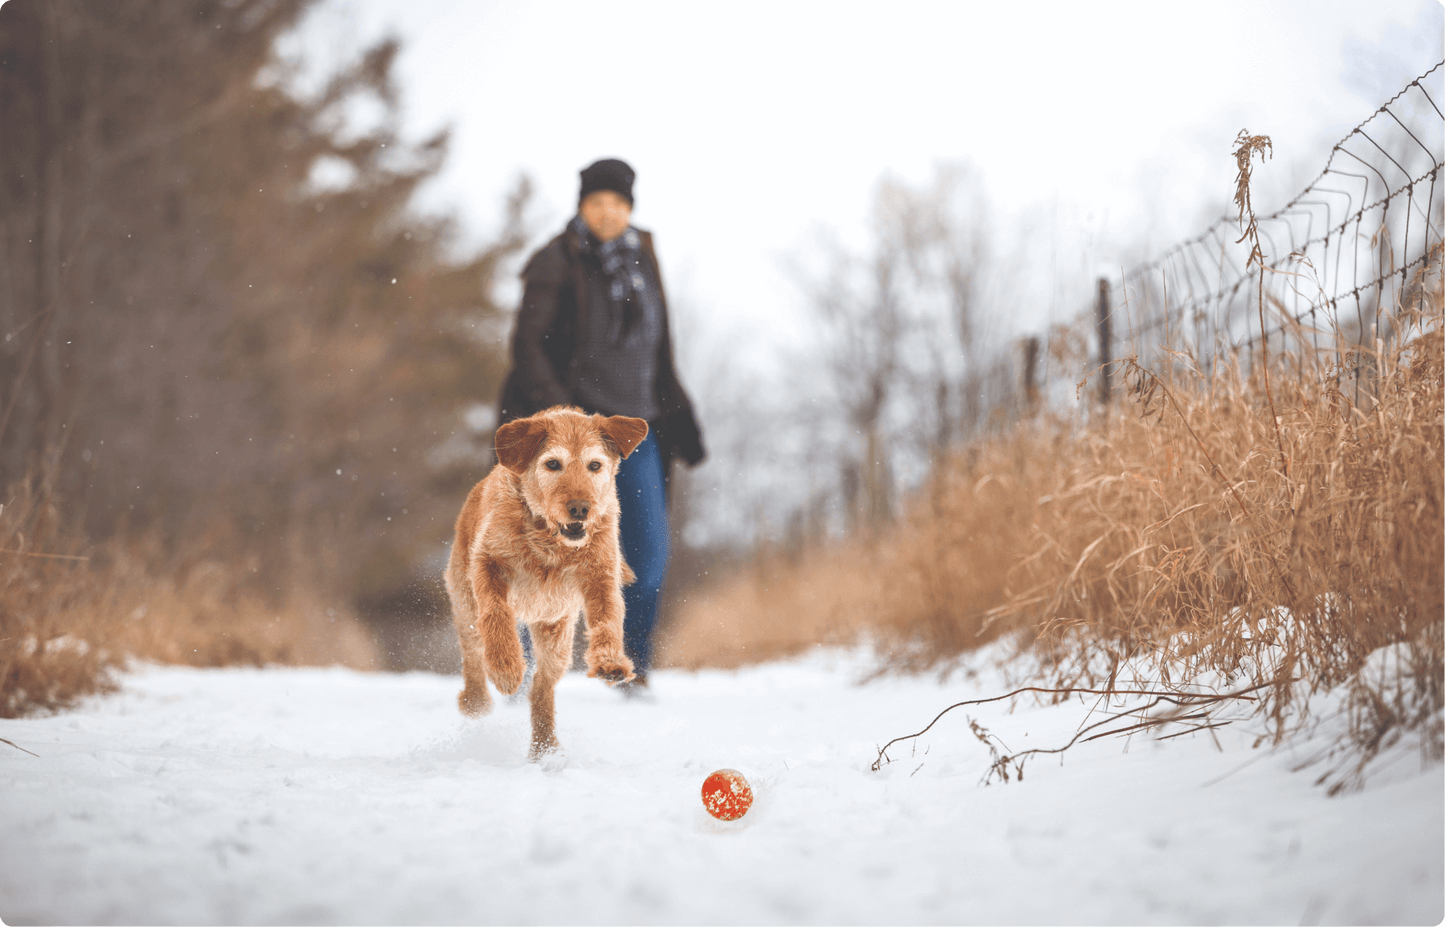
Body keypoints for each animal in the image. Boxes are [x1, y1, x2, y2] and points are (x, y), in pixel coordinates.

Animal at [439, 404, 644, 756]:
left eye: (594, 465)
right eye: (553, 464)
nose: (580, 508)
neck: (549, 542)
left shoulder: (600, 575)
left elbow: (607, 619)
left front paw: (611, 661)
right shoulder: (488, 564)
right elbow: (496, 613)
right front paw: (506, 667)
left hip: (556, 633)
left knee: (541, 687)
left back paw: (544, 748)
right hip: (465, 603)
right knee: (473, 653)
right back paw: (476, 701)